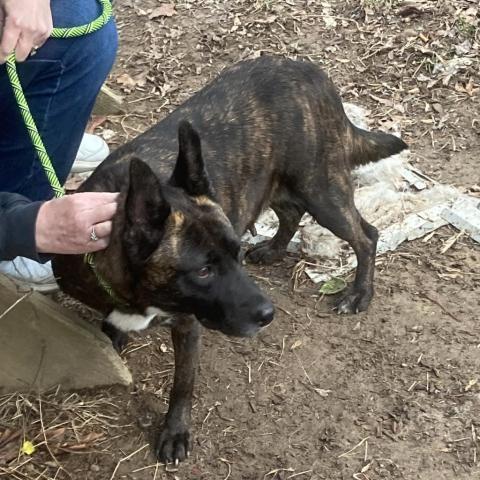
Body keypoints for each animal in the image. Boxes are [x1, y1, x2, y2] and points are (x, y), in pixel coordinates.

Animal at [52, 55, 406, 464]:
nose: (268, 315)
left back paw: (359, 293)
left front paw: (175, 432)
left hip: (322, 191)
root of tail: (310, 70)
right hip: (281, 186)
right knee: (292, 213)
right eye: (204, 271)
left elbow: (183, 384)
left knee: (366, 235)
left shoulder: (188, 327)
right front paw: (114, 335)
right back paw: (274, 249)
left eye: (233, 254)